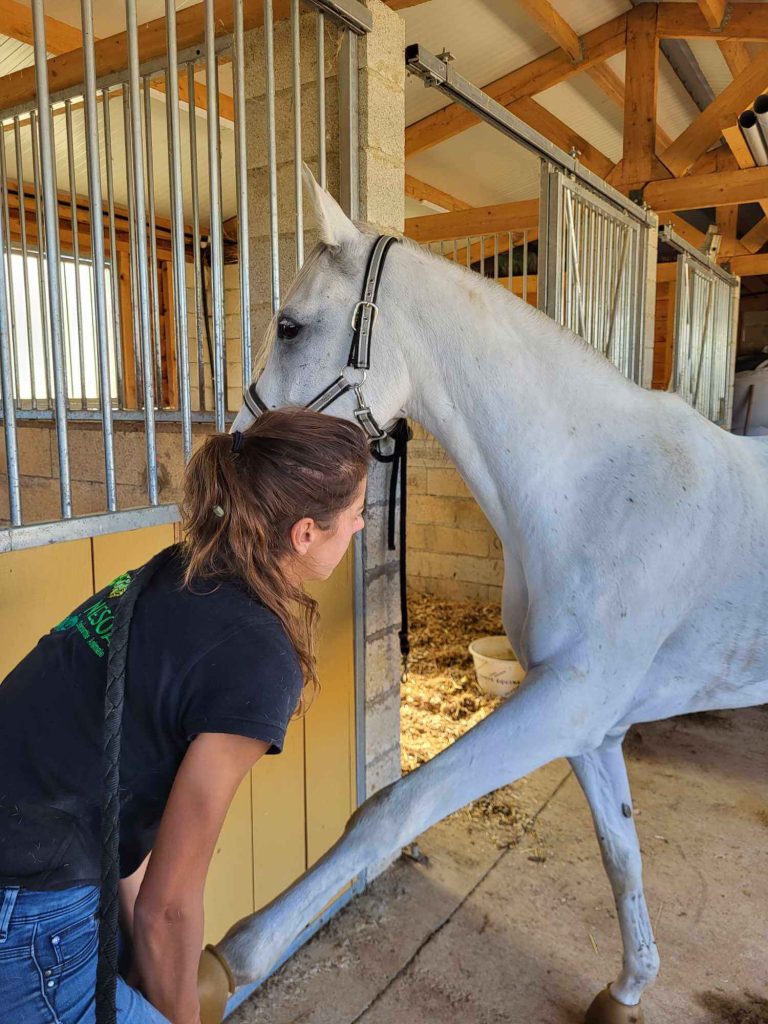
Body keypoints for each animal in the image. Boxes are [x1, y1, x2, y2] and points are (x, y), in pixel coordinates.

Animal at [200, 169, 768, 1024]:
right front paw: (629, 986)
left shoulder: (569, 700)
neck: (596, 488)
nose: (229, 473)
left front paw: (236, 953)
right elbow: (622, 854)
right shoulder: (590, 724)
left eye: (292, 327)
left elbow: (392, 807)